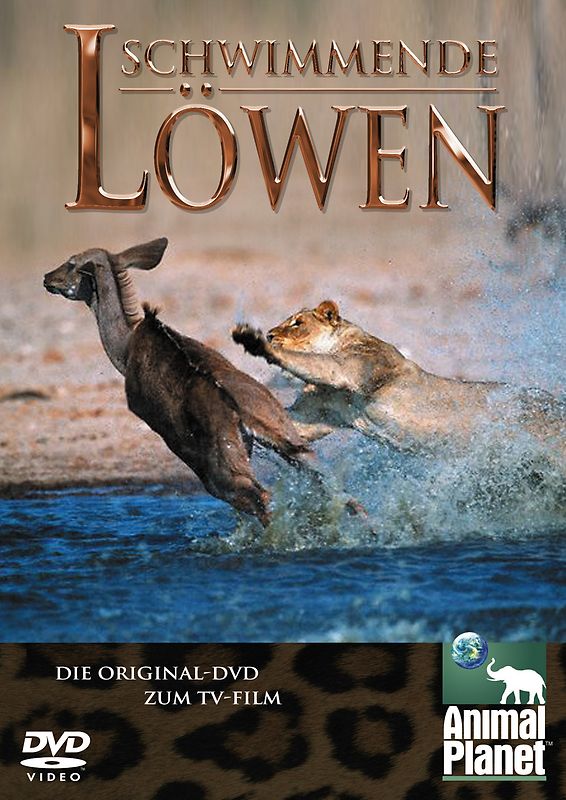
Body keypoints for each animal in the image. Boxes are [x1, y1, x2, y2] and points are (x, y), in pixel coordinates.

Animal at [232, 300, 565, 455]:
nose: (271, 334)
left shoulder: (353, 369)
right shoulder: (321, 415)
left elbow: (312, 362)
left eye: (297, 323)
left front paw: (256, 342)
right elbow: (292, 426)